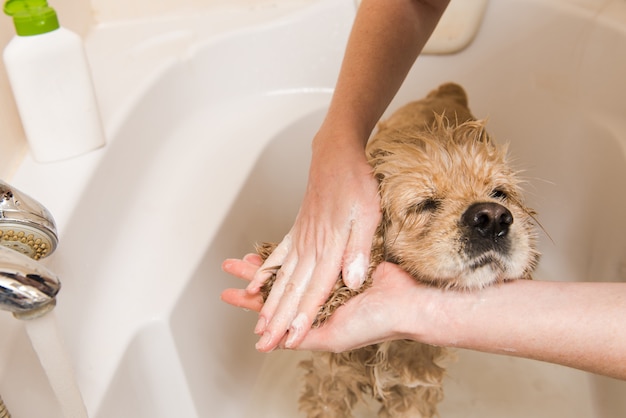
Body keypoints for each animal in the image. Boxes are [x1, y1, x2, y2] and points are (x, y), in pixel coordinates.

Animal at [256, 83, 540, 416]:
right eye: (424, 204)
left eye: (499, 193)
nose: (493, 218)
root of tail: (449, 91)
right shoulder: (330, 380)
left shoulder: (413, 391)